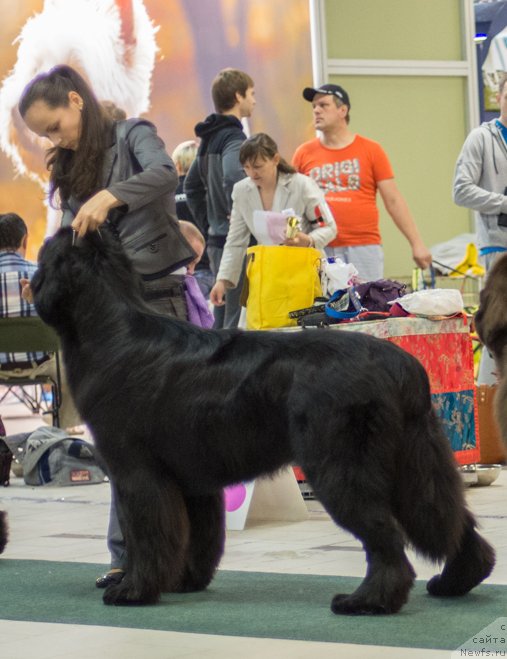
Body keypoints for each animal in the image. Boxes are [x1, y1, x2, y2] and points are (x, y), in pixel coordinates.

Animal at [29, 229, 494, 616]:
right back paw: (454, 582)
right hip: (416, 463)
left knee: (388, 539)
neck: (109, 329)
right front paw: (186, 582)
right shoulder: (195, 480)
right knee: (449, 518)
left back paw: (367, 601)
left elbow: (149, 534)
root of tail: (403, 367)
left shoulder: (136, 472)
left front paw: (134, 590)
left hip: (342, 468)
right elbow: (200, 537)